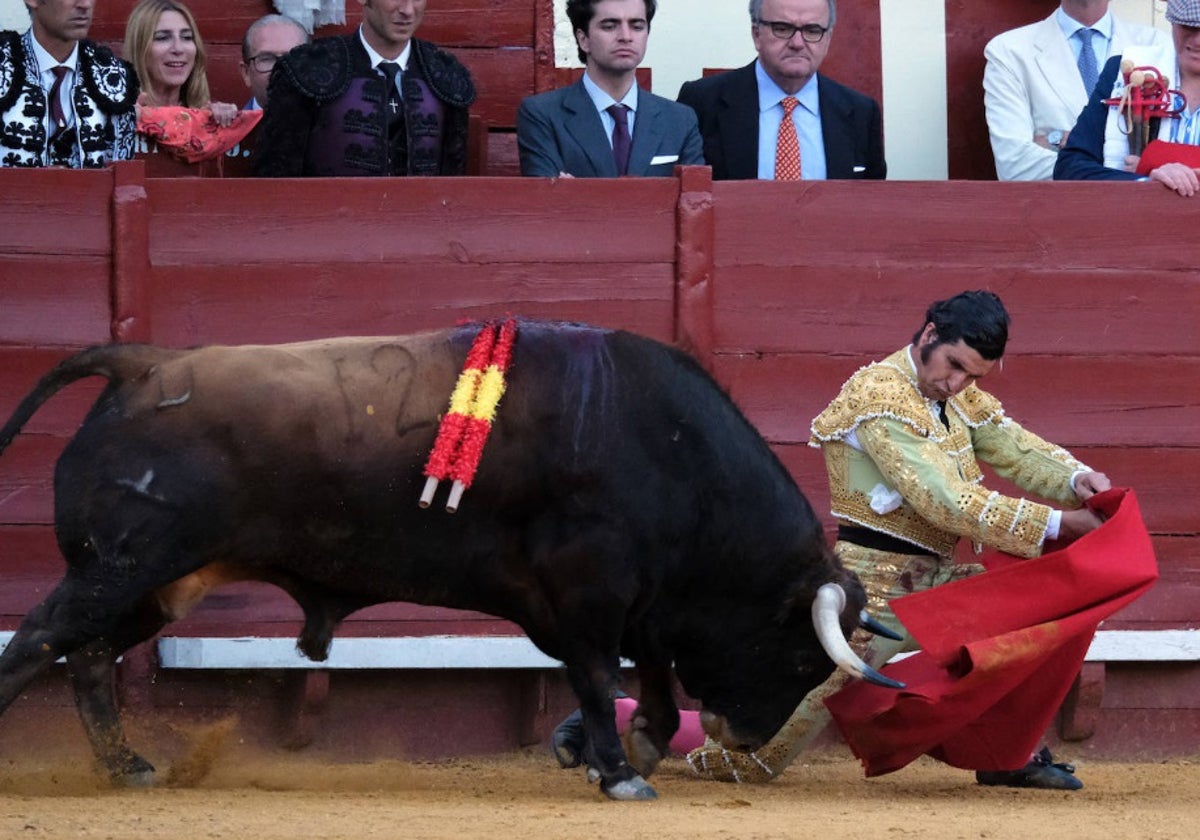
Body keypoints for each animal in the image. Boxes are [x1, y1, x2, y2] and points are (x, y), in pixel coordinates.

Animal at [0, 319, 897, 796]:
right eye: (798, 658)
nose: (743, 738)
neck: (672, 452)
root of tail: (141, 363)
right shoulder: (590, 596)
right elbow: (600, 678)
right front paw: (616, 771)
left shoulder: (640, 605)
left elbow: (651, 679)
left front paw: (630, 747)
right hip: (119, 567)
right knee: (39, 639)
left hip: (158, 584)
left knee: (87, 659)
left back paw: (131, 767)